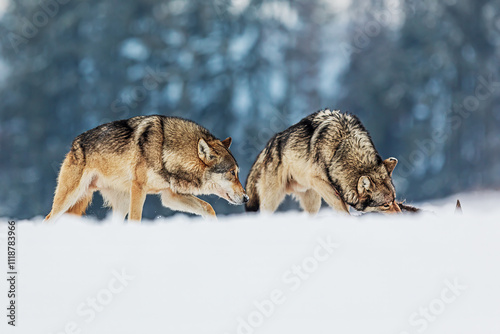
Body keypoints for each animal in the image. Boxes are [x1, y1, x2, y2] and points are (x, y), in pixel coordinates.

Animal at [45, 115, 248, 222]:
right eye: (232, 173)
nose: (246, 198)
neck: (164, 151)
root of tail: (75, 142)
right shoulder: (139, 189)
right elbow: (136, 218)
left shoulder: (169, 196)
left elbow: (208, 207)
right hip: (69, 198)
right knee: (48, 218)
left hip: (119, 203)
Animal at [245, 109, 402, 214]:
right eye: (386, 205)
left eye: (394, 199)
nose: (401, 216)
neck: (341, 145)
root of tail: (268, 146)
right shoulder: (318, 180)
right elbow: (340, 206)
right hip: (272, 200)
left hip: (313, 201)